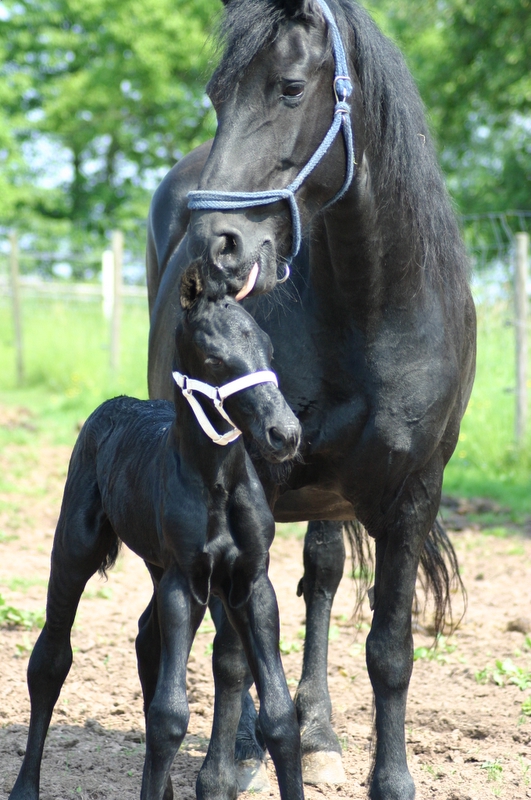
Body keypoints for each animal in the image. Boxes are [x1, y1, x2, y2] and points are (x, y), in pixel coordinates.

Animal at [9, 274, 304, 800]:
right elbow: (170, 716)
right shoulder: (184, 583)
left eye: (268, 349)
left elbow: (280, 715)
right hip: (76, 549)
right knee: (50, 659)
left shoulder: (252, 583)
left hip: (157, 566)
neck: (217, 484)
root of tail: (114, 405)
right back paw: (25, 788)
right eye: (214, 358)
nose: (285, 434)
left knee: (146, 638)